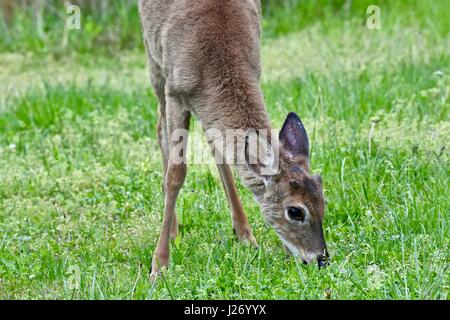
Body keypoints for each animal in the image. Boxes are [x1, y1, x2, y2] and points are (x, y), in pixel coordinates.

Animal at [139, 0, 328, 278]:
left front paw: (257, 241)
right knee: (160, 127)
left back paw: (244, 234)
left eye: (323, 201)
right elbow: (176, 174)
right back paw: (173, 231)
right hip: (153, 59)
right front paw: (159, 265)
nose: (321, 259)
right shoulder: (175, 89)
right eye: (295, 211)